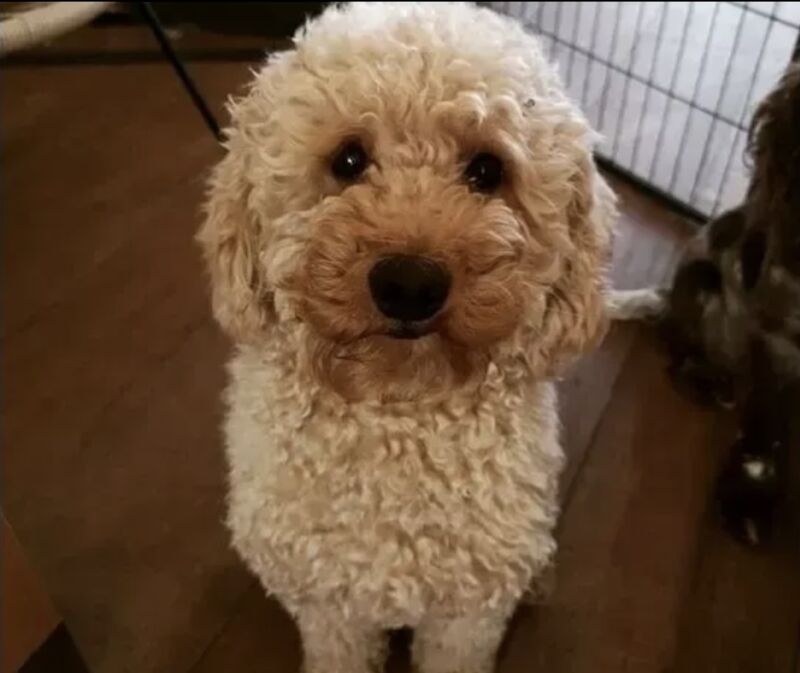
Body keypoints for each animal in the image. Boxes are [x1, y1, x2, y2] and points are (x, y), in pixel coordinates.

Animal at [197, 1, 620, 672]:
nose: (410, 285)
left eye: (487, 170)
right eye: (347, 160)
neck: (398, 413)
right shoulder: (329, 607)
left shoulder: (467, 616)